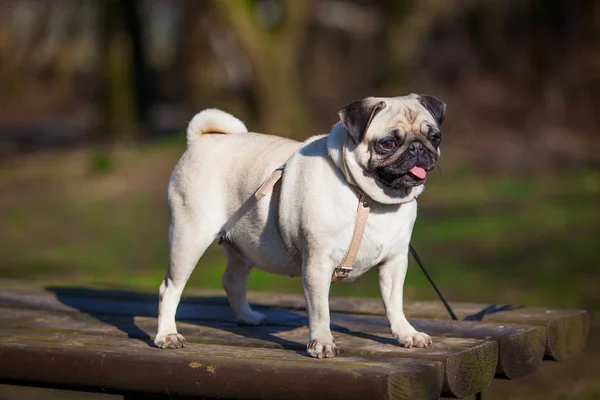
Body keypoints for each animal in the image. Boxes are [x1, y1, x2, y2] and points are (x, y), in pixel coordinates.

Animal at [155, 94, 446, 360]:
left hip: (244, 246)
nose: (418, 148)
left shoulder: (394, 262)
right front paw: (322, 343)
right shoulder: (317, 263)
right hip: (189, 238)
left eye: (434, 138)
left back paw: (247, 317)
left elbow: (394, 303)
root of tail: (201, 140)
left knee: (232, 281)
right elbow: (320, 311)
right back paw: (167, 335)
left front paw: (406, 334)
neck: (370, 200)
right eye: (387, 143)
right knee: (170, 288)